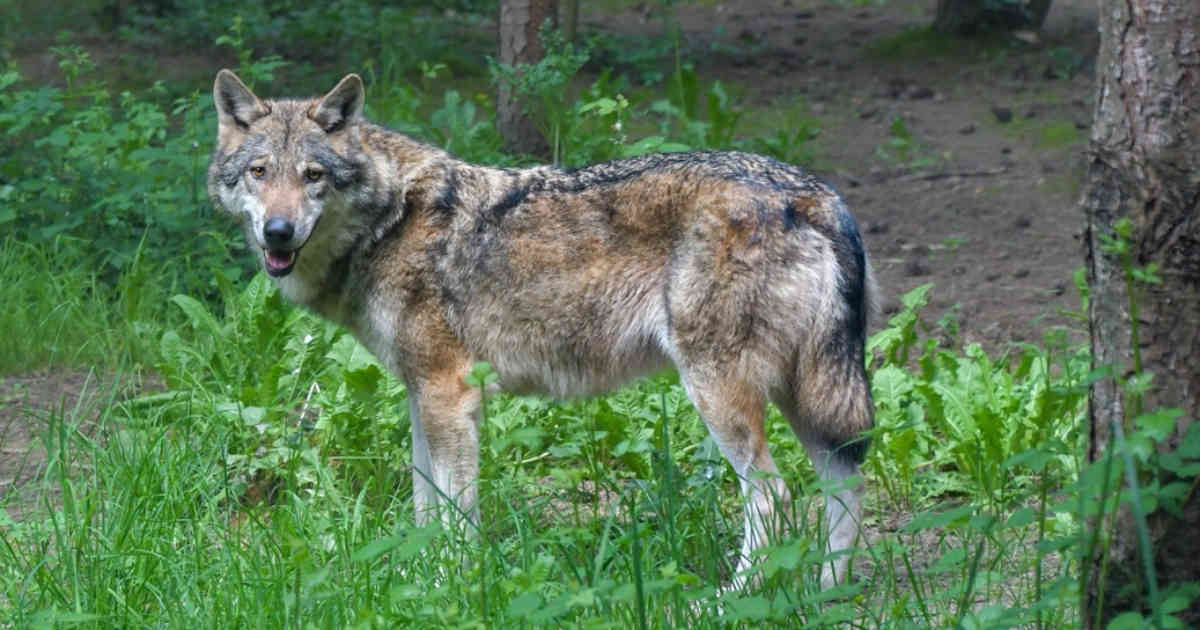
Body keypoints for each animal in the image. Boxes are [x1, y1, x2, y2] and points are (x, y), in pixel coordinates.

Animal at [208, 69, 873, 590]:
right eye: (259, 172)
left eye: (313, 175)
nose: (277, 231)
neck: (391, 220)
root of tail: (818, 195)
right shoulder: (422, 397)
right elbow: (425, 510)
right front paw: (413, 582)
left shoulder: (450, 395)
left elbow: (455, 517)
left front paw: (450, 586)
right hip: (806, 397)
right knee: (844, 486)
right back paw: (825, 594)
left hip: (721, 394)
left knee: (776, 499)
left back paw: (726, 602)